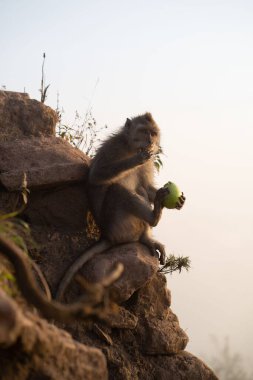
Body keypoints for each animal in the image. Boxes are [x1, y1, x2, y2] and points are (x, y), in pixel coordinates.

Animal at [55, 113, 186, 300]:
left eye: (153, 133)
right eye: (144, 131)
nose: (150, 141)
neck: (131, 147)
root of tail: (107, 236)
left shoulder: (149, 163)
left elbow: (147, 188)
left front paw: (178, 202)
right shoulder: (113, 147)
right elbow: (97, 175)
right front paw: (135, 159)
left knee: (139, 190)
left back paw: (147, 235)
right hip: (119, 225)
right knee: (116, 189)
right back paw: (154, 217)